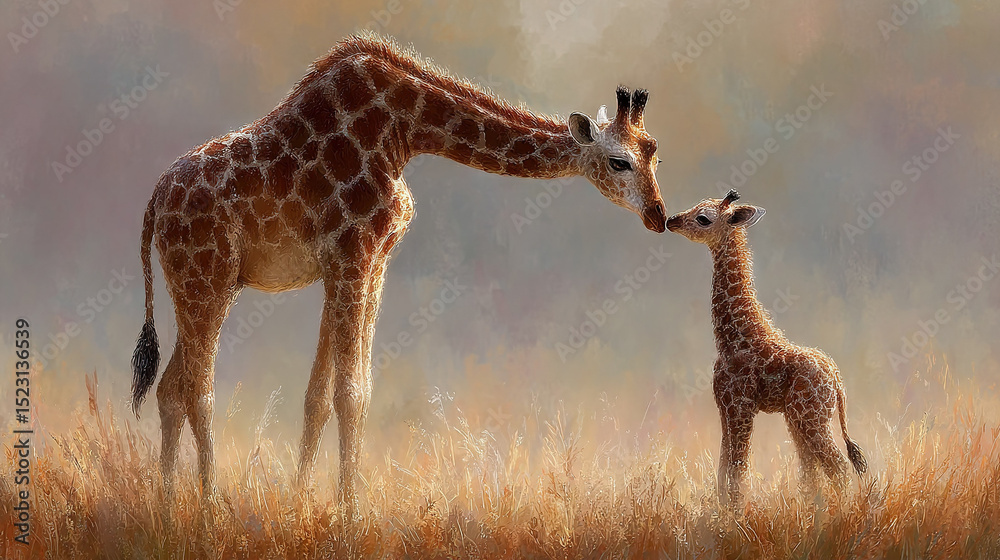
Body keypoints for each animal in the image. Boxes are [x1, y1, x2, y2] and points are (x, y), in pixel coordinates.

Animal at [129, 33, 666, 516]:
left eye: (655, 153)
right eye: (619, 161)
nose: (658, 216)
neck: (405, 131)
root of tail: (154, 204)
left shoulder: (365, 262)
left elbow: (323, 395)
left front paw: (302, 502)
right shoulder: (353, 254)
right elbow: (349, 392)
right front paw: (348, 516)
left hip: (205, 284)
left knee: (170, 388)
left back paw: (167, 506)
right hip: (206, 277)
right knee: (198, 390)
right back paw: (208, 508)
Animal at [665, 190, 867, 508]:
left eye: (703, 218)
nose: (671, 220)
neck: (733, 337)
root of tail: (837, 381)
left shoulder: (741, 405)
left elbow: (737, 468)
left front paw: (735, 514)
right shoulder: (724, 407)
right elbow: (723, 468)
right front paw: (724, 512)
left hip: (810, 416)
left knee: (836, 466)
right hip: (798, 417)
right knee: (812, 470)